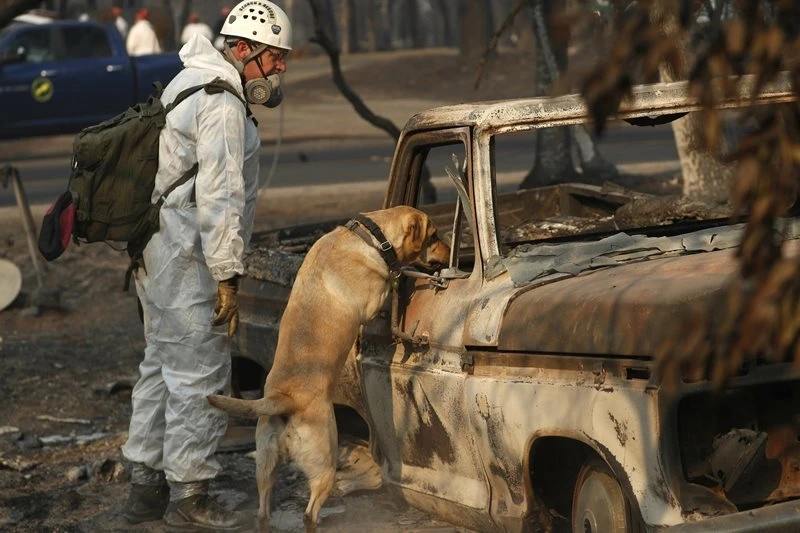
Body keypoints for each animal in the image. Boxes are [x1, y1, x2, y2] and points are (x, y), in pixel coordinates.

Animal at [209, 206, 454, 528]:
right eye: (434, 235)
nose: (450, 254)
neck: (369, 236)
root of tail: (282, 401)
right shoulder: (372, 303)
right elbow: (392, 281)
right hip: (324, 461)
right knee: (309, 513)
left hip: (265, 466)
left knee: (262, 512)